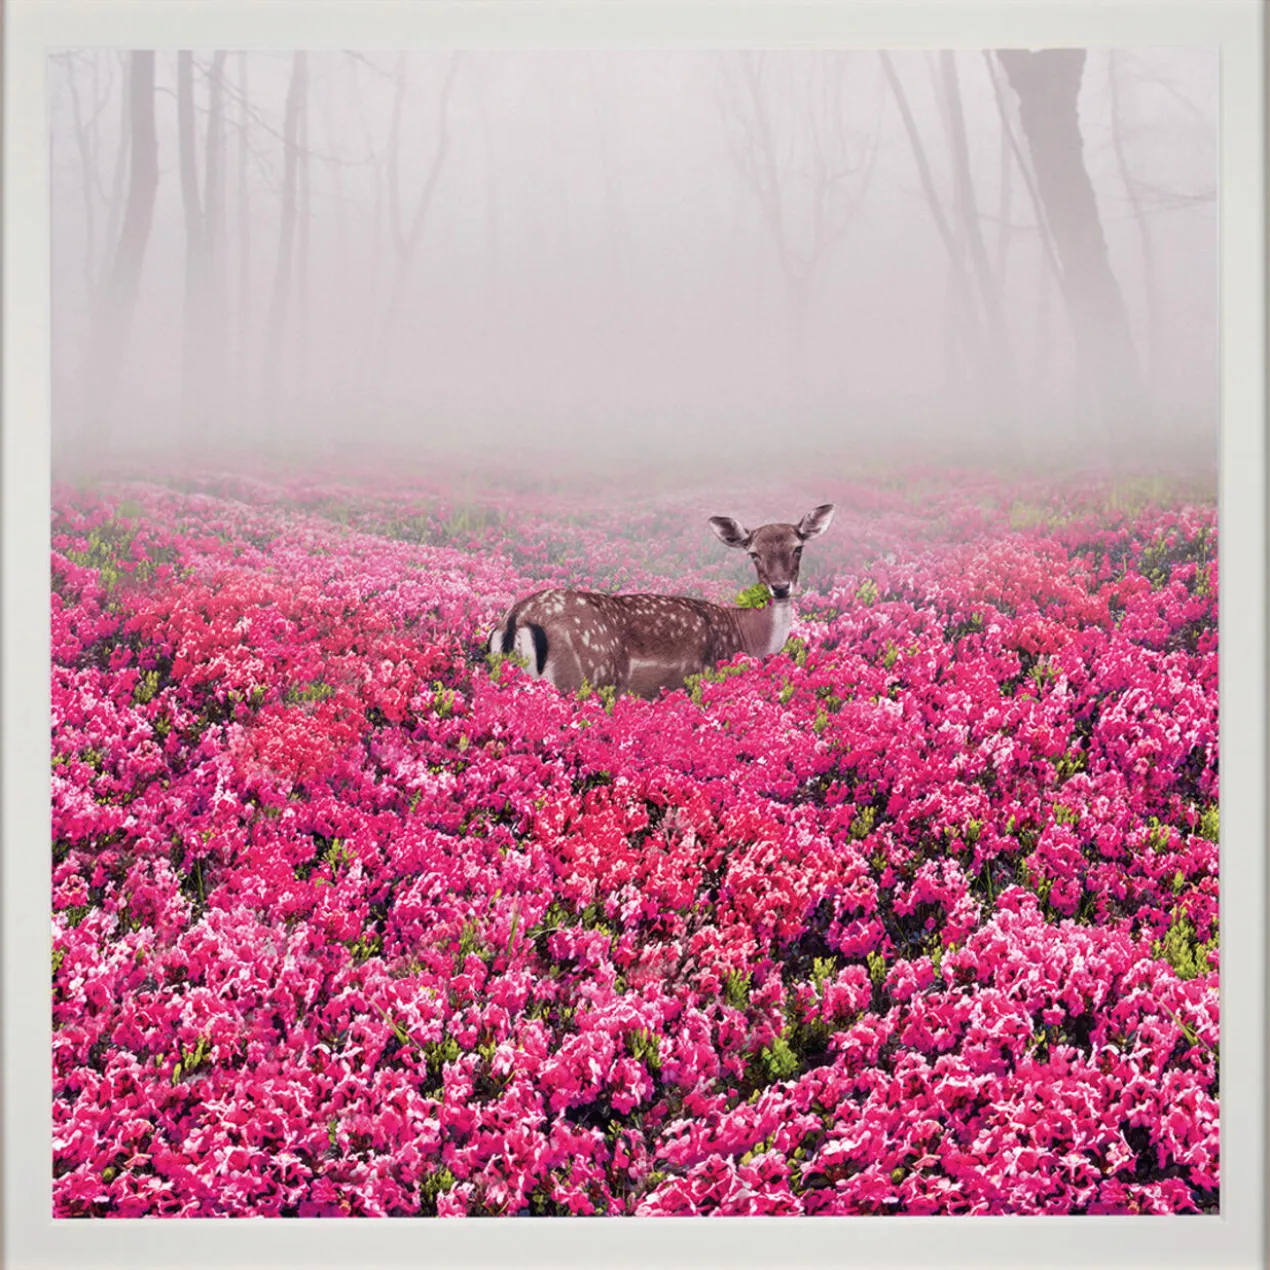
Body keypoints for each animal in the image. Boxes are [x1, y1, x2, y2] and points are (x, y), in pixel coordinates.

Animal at [487, 504, 835, 698]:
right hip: (586, 678)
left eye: (798, 547)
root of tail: (517, 618)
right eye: (754, 553)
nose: (780, 588)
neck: (747, 636)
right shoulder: (696, 678)